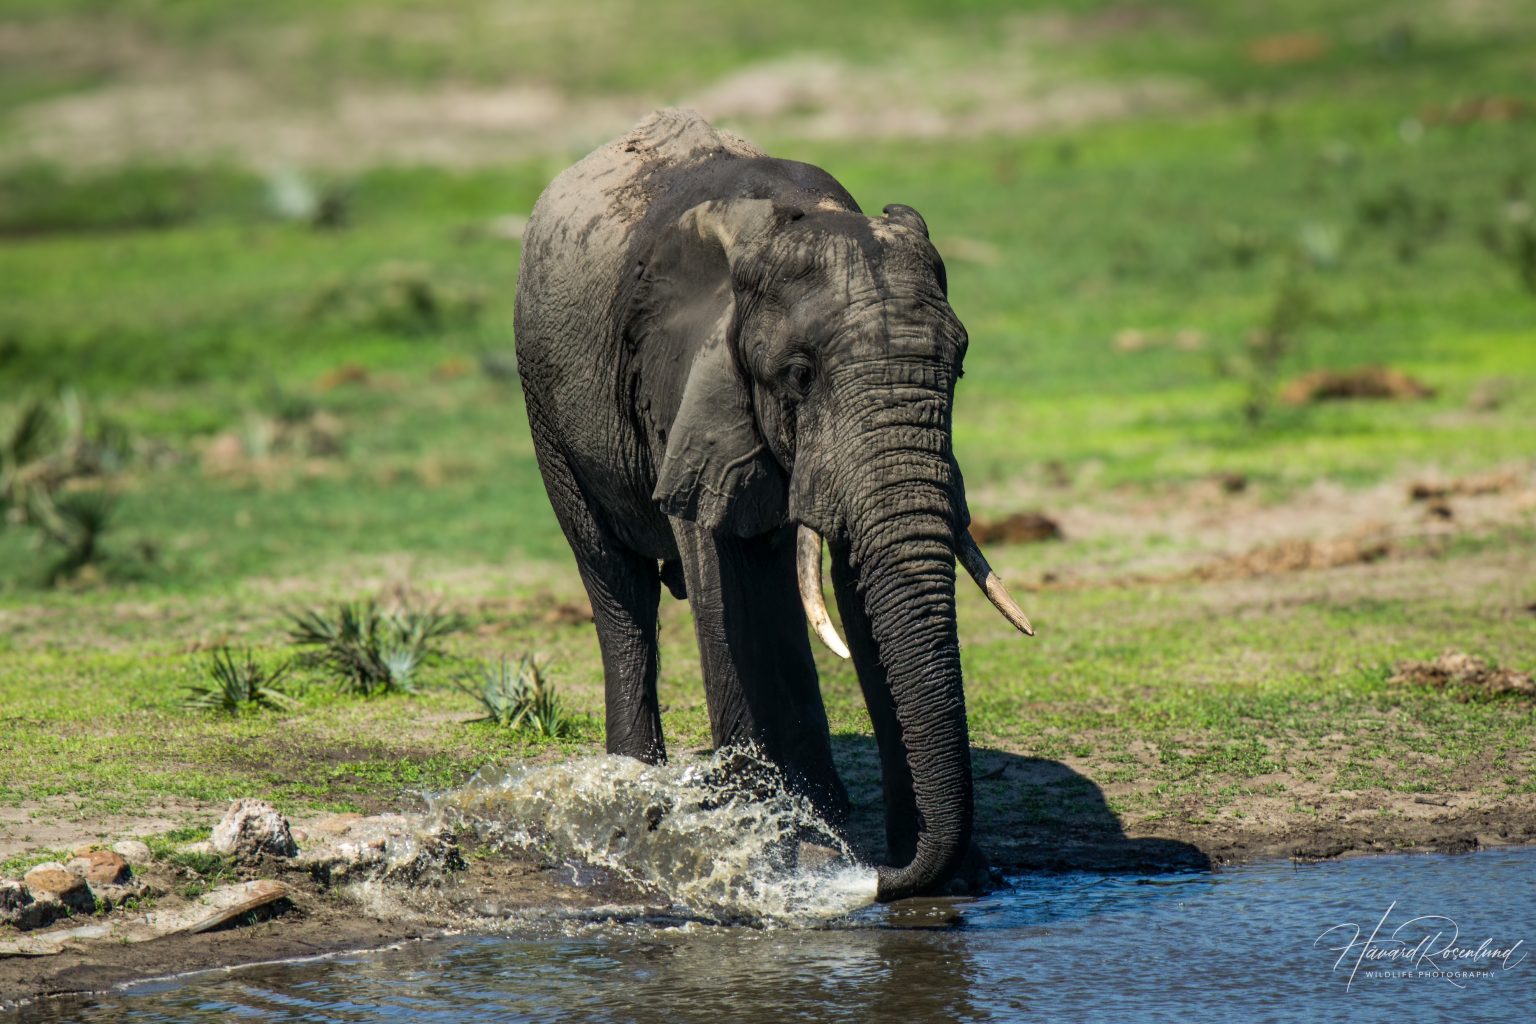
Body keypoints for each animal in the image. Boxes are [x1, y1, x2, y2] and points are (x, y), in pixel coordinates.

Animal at [513, 109, 1032, 900]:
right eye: (799, 374)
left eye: (960, 366)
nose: (877, 879)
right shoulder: (681, 379)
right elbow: (722, 585)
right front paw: (770, 848)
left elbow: (856, 589)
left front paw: (946, 875)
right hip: (545, 406)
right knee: (616, 580)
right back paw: (641, 783)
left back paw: (823, 805)